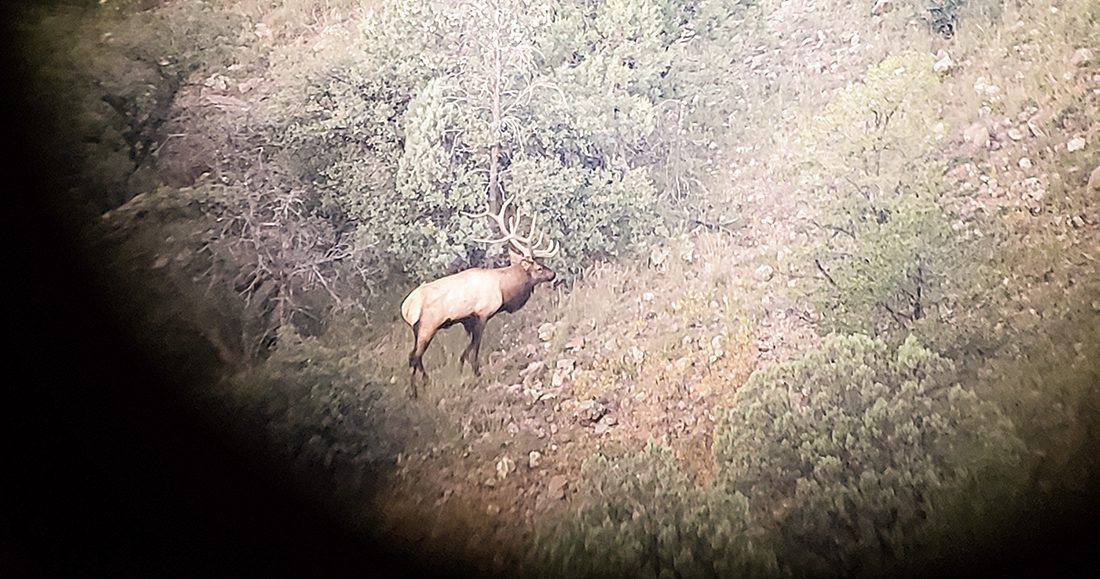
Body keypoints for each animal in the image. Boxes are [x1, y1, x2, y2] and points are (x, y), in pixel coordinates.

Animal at [400, 196, 559, 398]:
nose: (553, 274)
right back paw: (414, 392)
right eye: (539, 268)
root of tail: (406, 308)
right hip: (428, 325)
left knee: (415, 356)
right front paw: (476, 372)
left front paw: (461, 366)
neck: (504, 290)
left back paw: (426, 381)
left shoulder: (466, 320)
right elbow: (475, 346)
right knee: (414, 357)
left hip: (418, 329)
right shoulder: (482, 313)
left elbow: (467, 348)